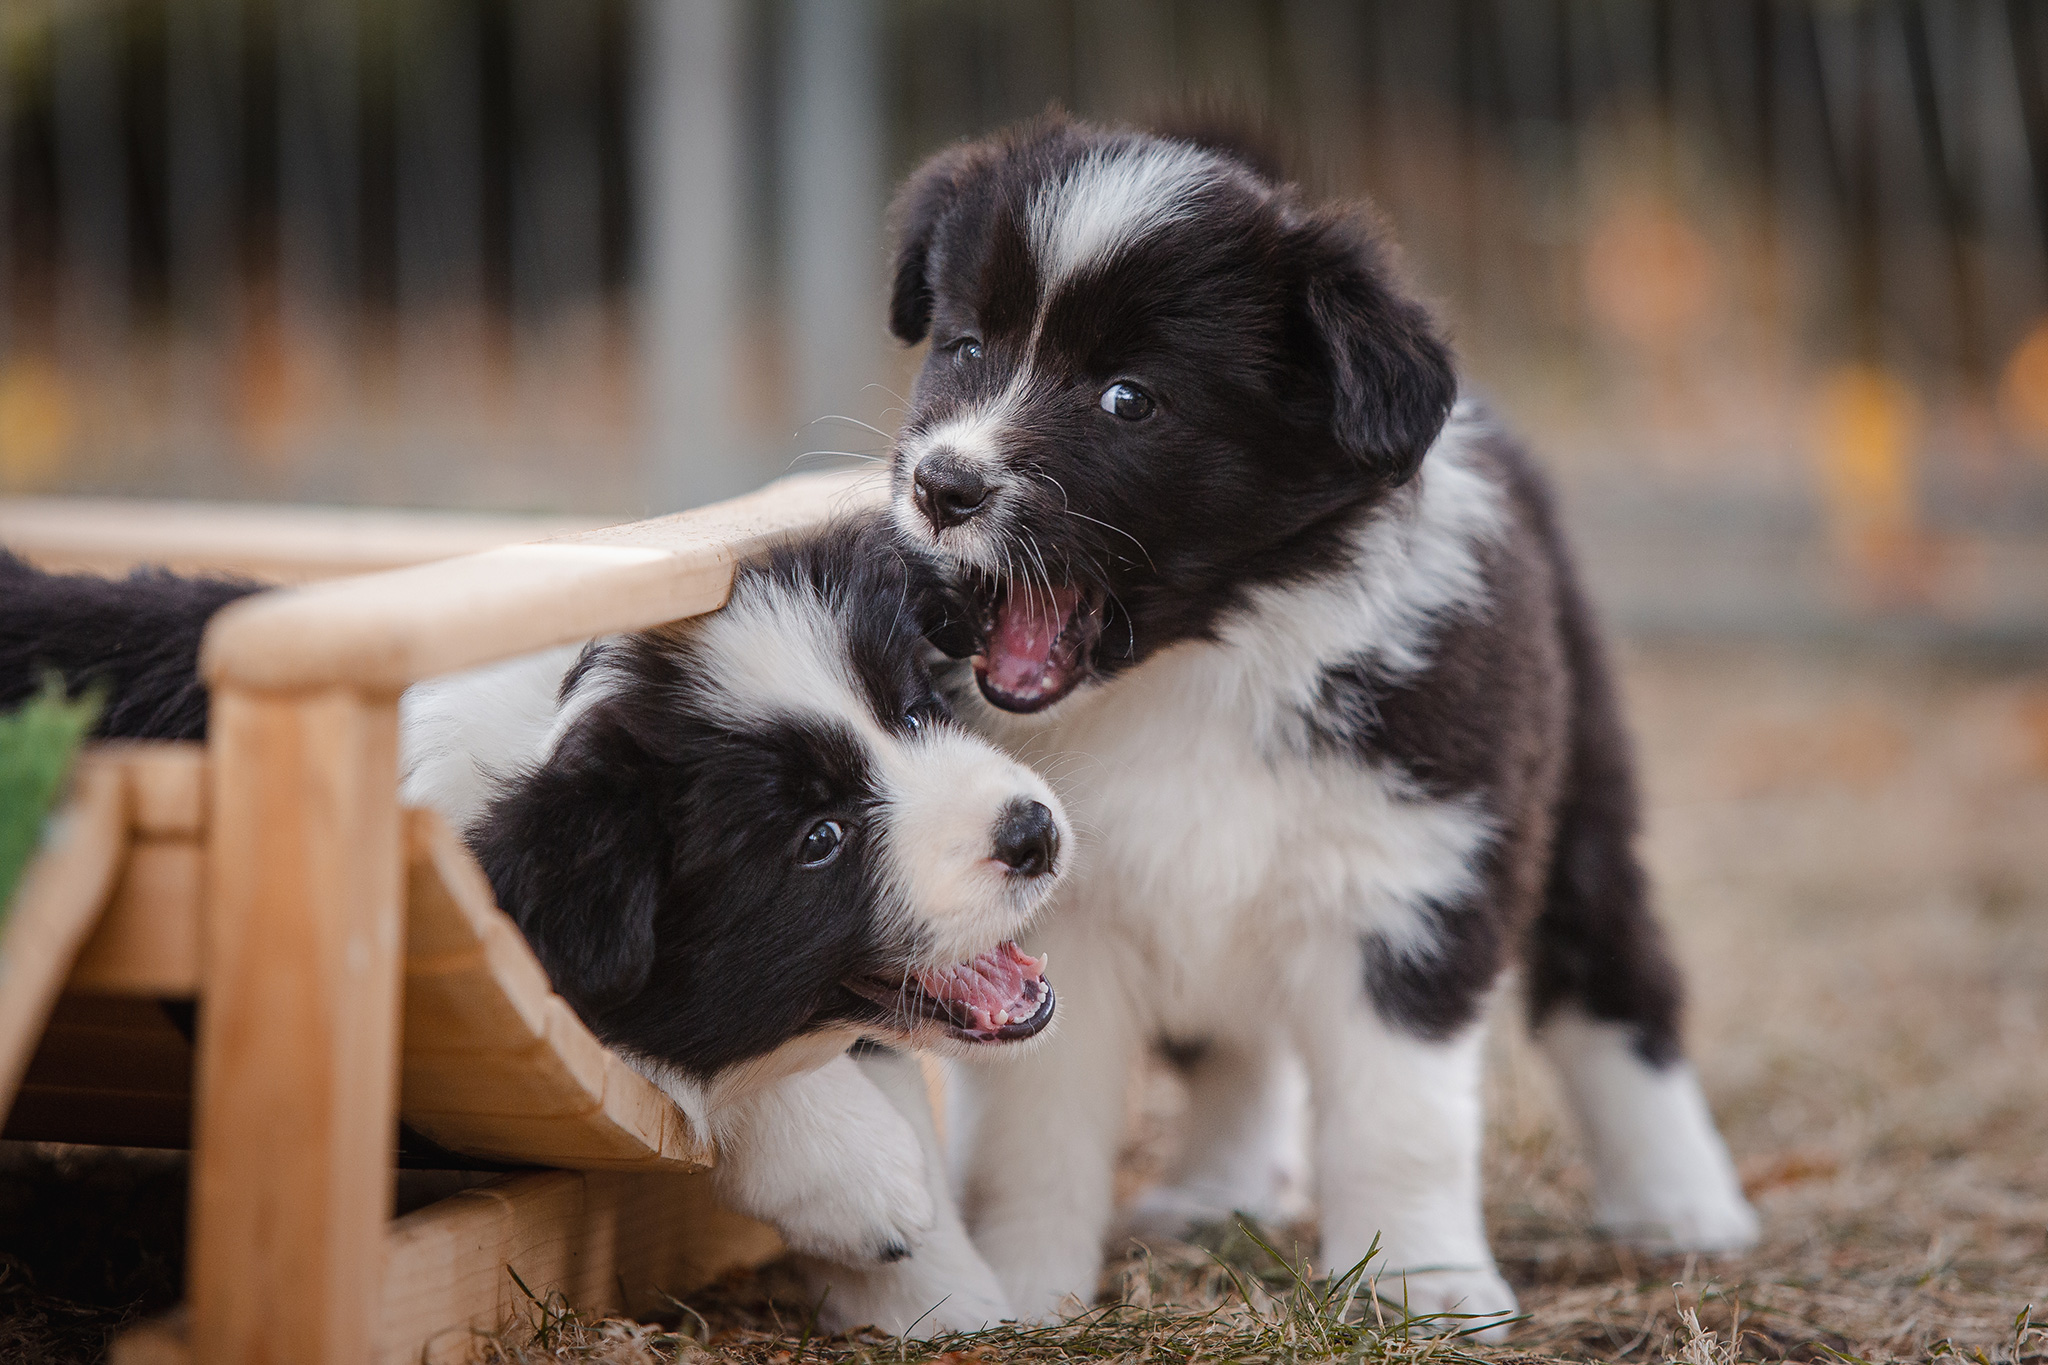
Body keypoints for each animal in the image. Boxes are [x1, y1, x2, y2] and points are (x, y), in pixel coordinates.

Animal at [4, 523, 1073, 1334]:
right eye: (820, 838)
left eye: (914, 713)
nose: (1033, 833)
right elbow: (673, 1052)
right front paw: (866, 1182)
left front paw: (948, 1296)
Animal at [880, 117, 1761, 1334]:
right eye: (964, 346)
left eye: (1128, 399)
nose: (941, 485)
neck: (1199, 666)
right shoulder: (1061, 910)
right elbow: (1031, 1125)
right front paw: (1018, 1287)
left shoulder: (1409, 875)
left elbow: (1401, 1120)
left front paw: (1425, 1292)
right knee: (1237, 1050)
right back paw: (1220, 1190)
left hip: (1577, 784)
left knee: (1614, 978)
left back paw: (1682, 1204)